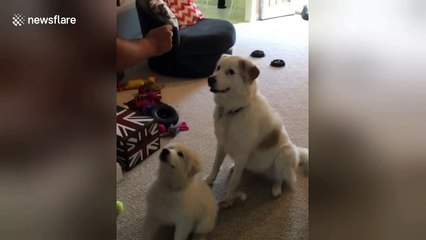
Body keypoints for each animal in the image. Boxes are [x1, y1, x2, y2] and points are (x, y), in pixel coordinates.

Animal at [206, 55, 308, 207]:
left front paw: (228, 200)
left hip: (284, 152)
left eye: (231, 72)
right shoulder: (222, 144)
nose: (210, 79)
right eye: (218, 68)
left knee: (280, 177)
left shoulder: (242, 153)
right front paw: (208, 181)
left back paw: (276, 189)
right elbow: (215, 166)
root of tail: (296, 151)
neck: (232, 112)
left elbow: (234, 181)